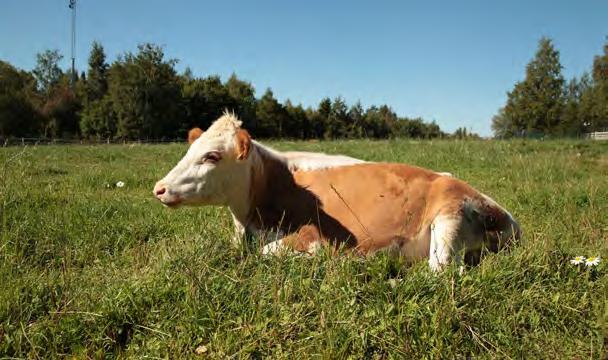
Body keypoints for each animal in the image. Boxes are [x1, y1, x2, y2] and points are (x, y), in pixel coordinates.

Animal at [156, 113, 516, 270]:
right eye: (189, 150)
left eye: (211, 156)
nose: (159, 188)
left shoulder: (312, 235)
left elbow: (271, 253)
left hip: (448, 219)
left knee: (442, 274)